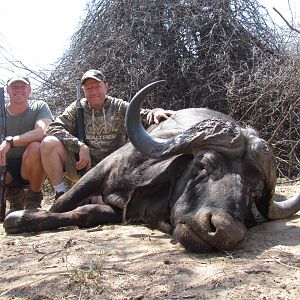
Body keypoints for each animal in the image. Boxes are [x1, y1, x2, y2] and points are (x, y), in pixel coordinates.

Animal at [2, 81, 300, 252]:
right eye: (204, 164)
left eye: (253, 192)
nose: (226, 232)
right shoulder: (100, 171)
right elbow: (62, 204)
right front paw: (21, 217)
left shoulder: (121, 211)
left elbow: (86, 213)